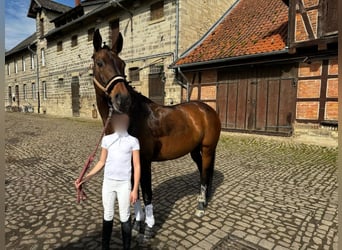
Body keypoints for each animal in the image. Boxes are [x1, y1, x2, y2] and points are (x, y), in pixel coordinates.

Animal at [92, 28, 220, 236]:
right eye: (99, 63)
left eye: (122, 64)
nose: (122, 99)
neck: (134, 117)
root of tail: (207, 109)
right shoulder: (132, 161)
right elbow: (134, 192)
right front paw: (136, 224)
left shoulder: (144, 161)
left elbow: (146, 193)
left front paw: (148, 228)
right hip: (195, 150)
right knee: (204, 170)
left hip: (208, 148)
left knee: (204, 173)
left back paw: (201, 206)